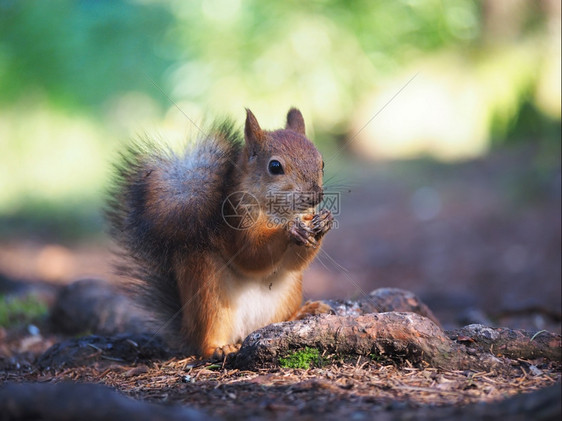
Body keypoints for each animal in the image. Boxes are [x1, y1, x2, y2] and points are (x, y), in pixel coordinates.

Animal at [107, 108, 330, 358]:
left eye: (321, 162)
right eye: (275, 167)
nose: (316, 196)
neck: (280, 212)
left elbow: (293, 263)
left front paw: (323, 222)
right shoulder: (234, 223)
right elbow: (252, 255)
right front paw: (290, 230)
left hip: (288, 293)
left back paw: (303, 312)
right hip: (208, 290)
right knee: (207, 338)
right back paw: (219, 348)